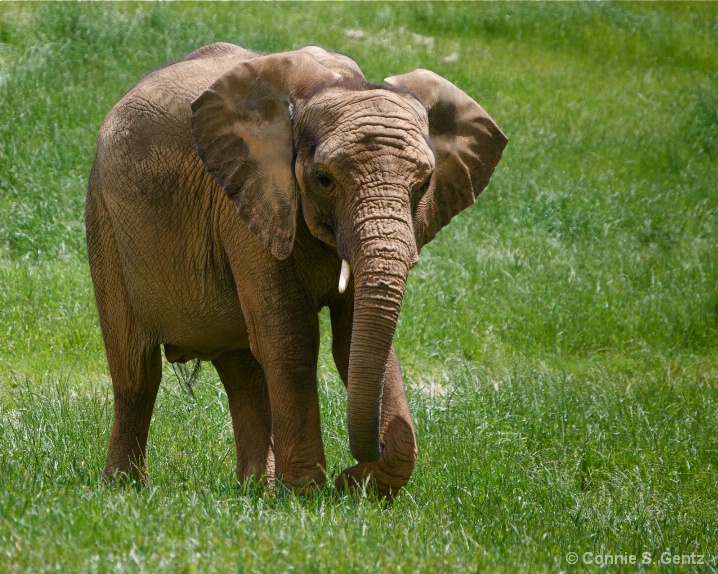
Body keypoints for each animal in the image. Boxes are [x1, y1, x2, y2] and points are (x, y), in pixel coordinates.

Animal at [87, 42, 510, 498]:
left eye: (424, 184)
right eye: (323, 180)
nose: (354, 469)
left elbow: (350, 339)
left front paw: (351, 487)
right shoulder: (250, 200)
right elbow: (291, 338)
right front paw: (307, 495)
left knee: (243, 373)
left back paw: (255, 489)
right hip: (104, 218)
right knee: (137, 372)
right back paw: (123, 488)